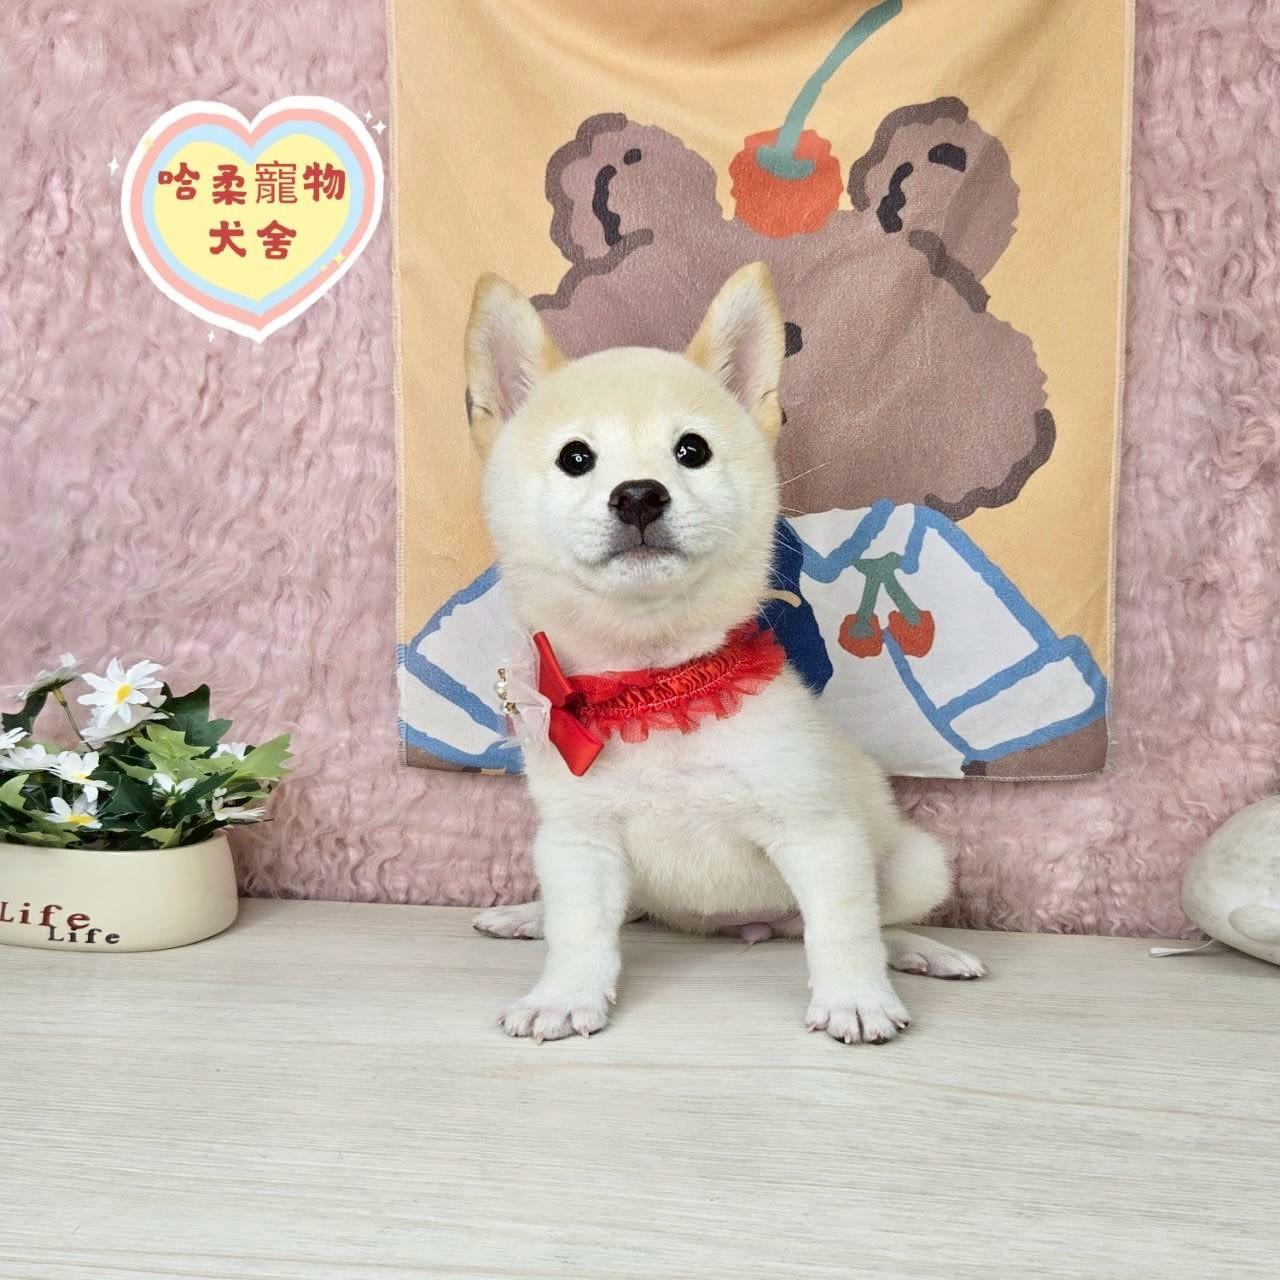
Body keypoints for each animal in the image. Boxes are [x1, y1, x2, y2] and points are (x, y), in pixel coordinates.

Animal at [465, 261, 985, 1044]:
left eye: (692, 451)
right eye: (575, 459)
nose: (639, 494)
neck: (656, 682)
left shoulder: (818, 833)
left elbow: (843, 928)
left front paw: (855, 996)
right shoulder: (579, 842)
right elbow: (582, 931)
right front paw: (565, 993)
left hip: (914, 864)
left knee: (873, 921)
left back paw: (923, 953)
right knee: (623, 912)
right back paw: (528, 916)